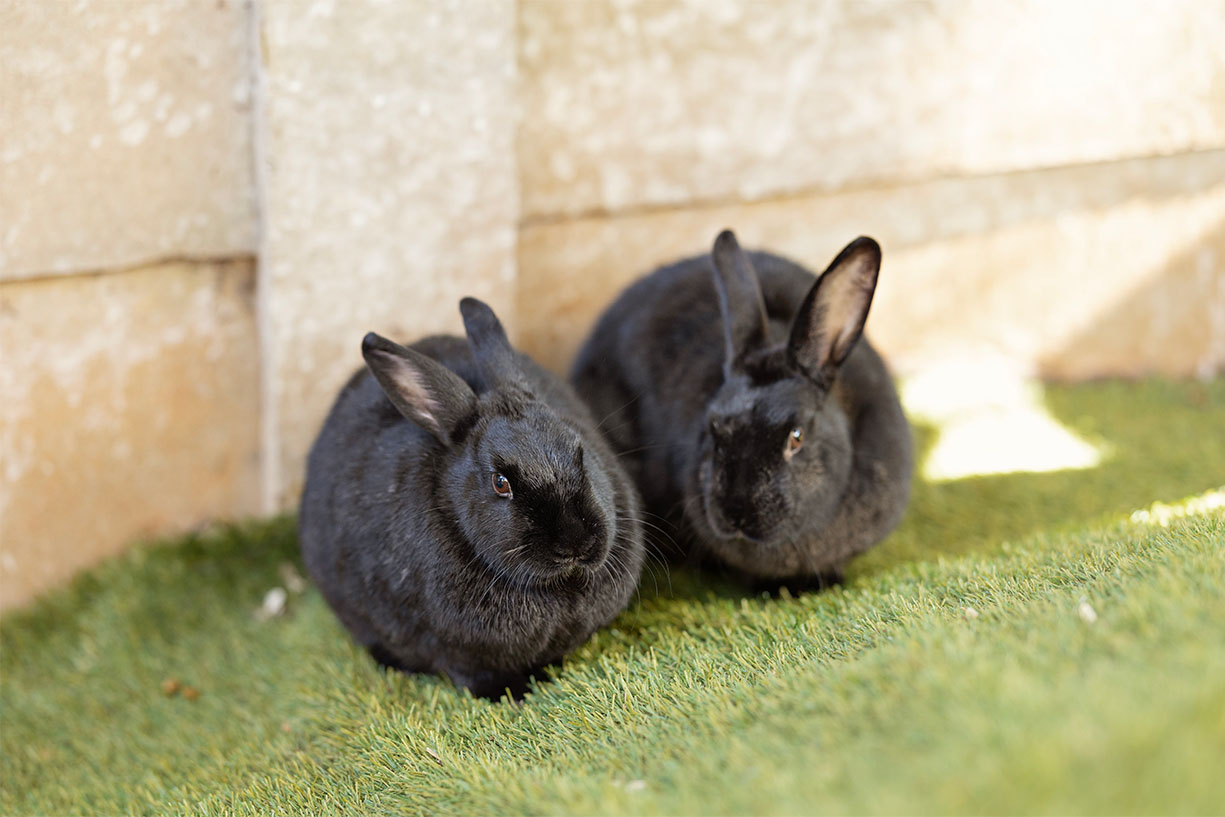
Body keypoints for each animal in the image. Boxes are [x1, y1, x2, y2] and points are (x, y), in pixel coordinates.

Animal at [300, 297, 645, 701]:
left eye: (580, 451)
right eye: (500, 483)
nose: (575, 543)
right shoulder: (454, 652)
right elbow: (473, 673)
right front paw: (512, 694)